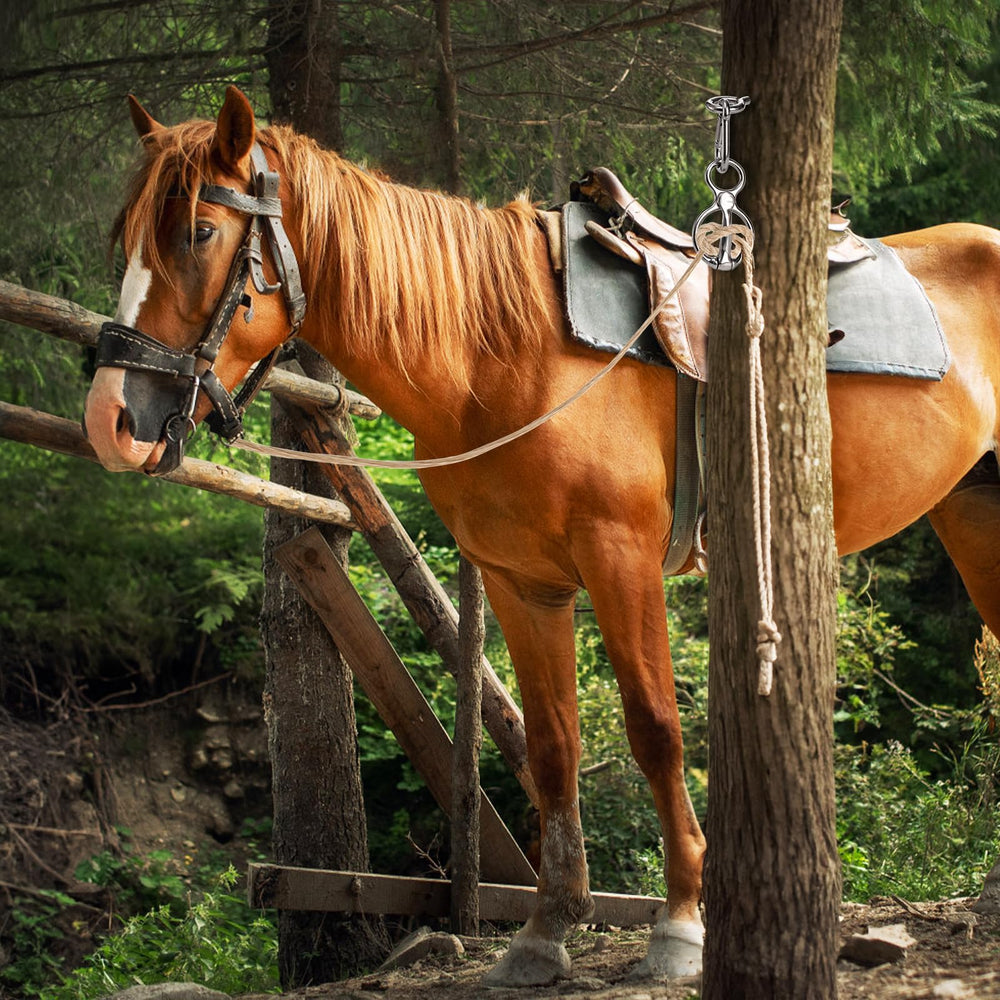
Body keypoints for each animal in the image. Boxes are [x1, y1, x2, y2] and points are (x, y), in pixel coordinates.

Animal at [83, 86, 1000, 985]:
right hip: (972, 514)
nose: (109, 421)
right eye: (127, 240)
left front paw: (679, 924)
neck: (500, 355)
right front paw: (546, 931)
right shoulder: (524, 582)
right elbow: (553, 745)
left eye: (200, 232)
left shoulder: (620, 560)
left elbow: (655, 729)